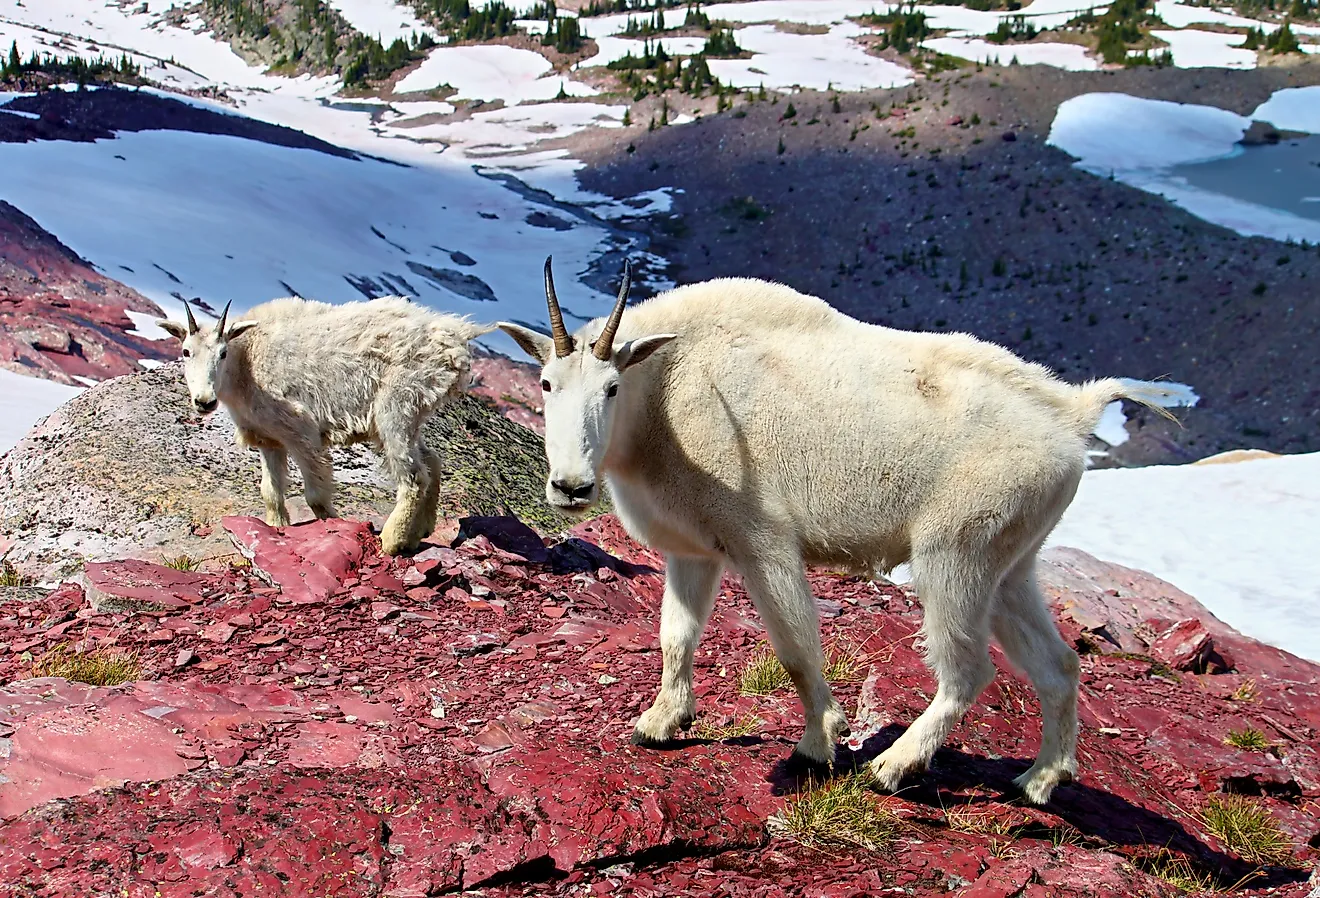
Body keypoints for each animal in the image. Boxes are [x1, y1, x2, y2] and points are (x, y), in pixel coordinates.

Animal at [158, 297, 492, 555]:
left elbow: (315, 496)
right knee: (431, 460)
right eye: (186, 351)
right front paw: (276, 529)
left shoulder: (301, 433)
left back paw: (391, 541)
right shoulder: (269, 439)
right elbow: (270, 492)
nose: (204, 401)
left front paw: (336, 524)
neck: (247, 362)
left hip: (397, 405)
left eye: (222, 353)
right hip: (409, 414)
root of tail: (456, 334)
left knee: (413, 476)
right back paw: (420, 532)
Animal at [498, 258, 1178, 804]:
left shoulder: (762, 540)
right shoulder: (694, 550)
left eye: (612, 387)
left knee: (967, 669)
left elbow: (796, 648)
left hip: (957, 550)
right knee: (1058, 663)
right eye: (546, 383)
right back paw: (1039, 781)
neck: (664, 391)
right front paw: (660, 724)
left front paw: (819, 743)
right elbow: (676, 636)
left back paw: (893, 766)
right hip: (1011, 560)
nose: (570, 486)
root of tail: (1073, 416)